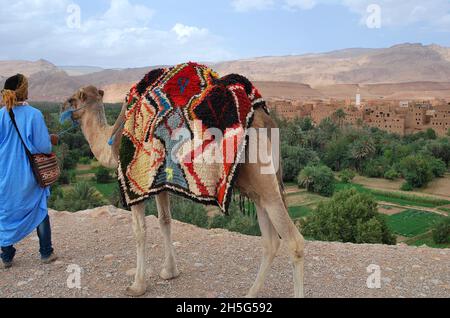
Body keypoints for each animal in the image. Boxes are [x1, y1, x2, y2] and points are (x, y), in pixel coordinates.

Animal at [62, 84, 306, 298]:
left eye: (72, 100)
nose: (62, 108)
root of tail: (268, 122)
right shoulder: (159, 183)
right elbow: (165, 221)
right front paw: (169, 272)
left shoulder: (135, 183)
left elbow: (140, 231)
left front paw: (137, 285)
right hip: (257, 190)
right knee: (271, 242)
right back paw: (250, 293)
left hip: (265, 184)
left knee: (294, 242)